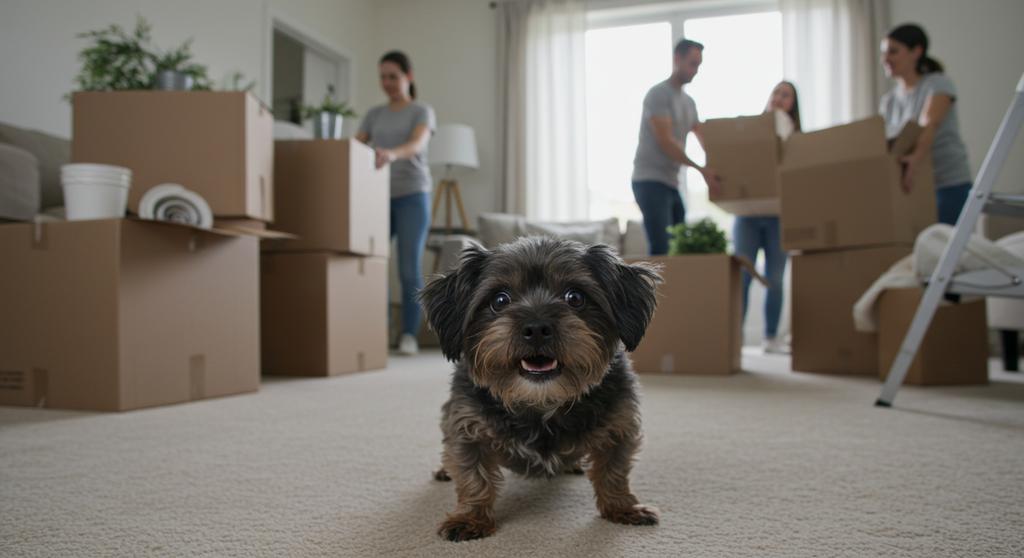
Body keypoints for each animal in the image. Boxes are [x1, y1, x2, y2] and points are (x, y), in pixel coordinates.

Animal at [419, 236, 659, 540]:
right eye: (499, 300)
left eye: (575, 297)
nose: (536, 328)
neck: (541, 402)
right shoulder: (467, 425)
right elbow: (473, 476)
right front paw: (470, 518)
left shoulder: (620, 424)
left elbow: (613, 472)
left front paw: (622, 508)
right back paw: (444, 470)